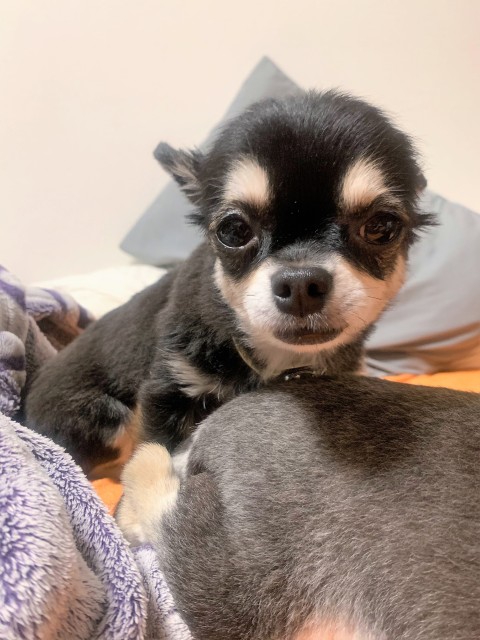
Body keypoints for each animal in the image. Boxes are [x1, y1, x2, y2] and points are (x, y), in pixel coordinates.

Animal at [25, 90, 430, 471]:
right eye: (234, 230)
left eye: (381, 227)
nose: (301, 283)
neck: (277, 361)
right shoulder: (165, 388)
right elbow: (156, 454)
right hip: (105, 415)